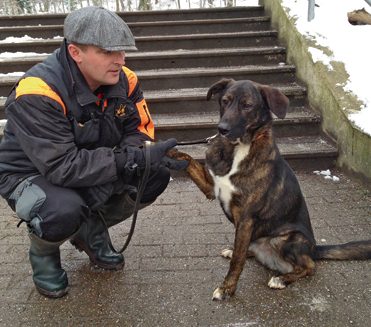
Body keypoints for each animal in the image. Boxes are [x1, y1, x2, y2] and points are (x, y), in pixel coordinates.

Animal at [168, 79, 371, 302]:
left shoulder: (246, 218)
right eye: (224, 101)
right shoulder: (212, 188)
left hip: (288, 239)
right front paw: (166, 148)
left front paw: (227, 288)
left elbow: (238, 261)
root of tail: (315, 249)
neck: (239, 148)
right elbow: (187, 158)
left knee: (309, 266)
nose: (222, 129)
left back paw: (281, 279)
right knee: (247, 249)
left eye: (247, 105)